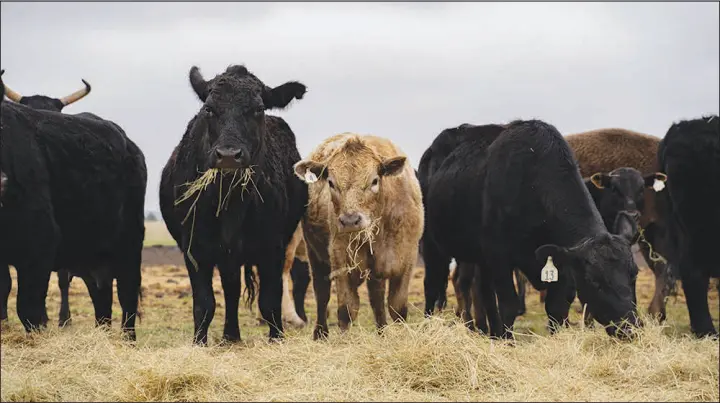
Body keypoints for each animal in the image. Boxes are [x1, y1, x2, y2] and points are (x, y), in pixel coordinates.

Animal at [160, 64, 310, 346]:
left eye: (258, 109)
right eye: (209, 108)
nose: (228, 155)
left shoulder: (272, 247)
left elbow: (269, 301)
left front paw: (277, 339)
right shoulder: (194, 250)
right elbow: (204, 303)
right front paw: (199, 343)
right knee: (230, 289)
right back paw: (231, 336)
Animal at [296, 133, 424, 340]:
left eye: (374, 181)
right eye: (331, 182)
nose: (350, 220)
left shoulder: (406, 258)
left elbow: (397, 307)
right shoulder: (340, 259)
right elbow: (346, 309)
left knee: (376, 299)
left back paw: (381, 332)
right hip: (314, 254)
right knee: (322, 294)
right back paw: (320, 333)